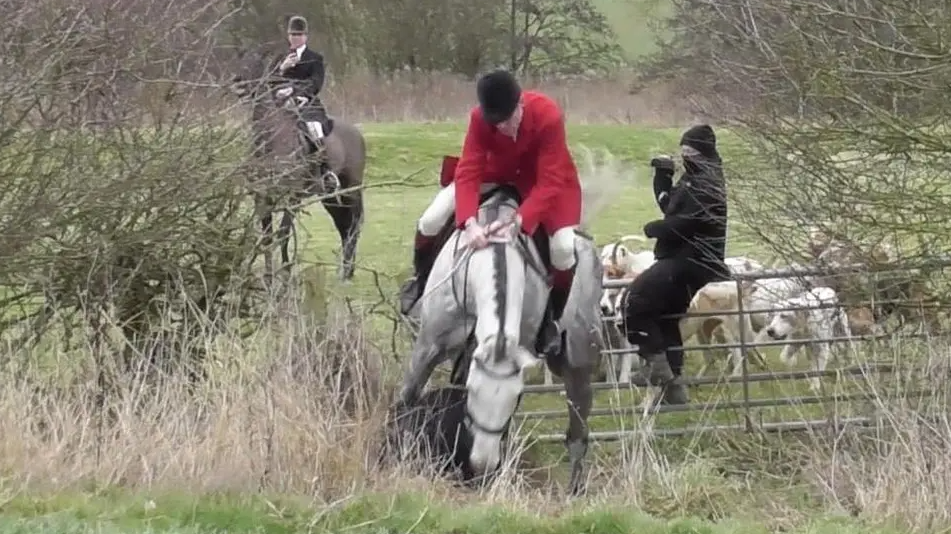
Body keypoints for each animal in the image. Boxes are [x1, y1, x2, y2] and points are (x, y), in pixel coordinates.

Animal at [229, 48, 366, 286]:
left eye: (256, 64)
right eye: (240, 60)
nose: (237, 83)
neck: (270, 141)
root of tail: (357, 133)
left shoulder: (291, 197)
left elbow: (283, 233)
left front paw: (285, 274)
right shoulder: (262, 196)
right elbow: (267, 236)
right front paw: (269, 278)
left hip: (352, 189)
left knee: (354, 226)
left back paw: (348, 273)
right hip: (330, 197)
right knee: (343, 226)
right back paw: (345, 271)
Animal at [396, 153, 624, 496]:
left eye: (515, 398)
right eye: (472, 392)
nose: (483, 464)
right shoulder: (428, 347)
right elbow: (407, 399)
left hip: (579, 363)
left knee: (577, 432)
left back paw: (574, 489)